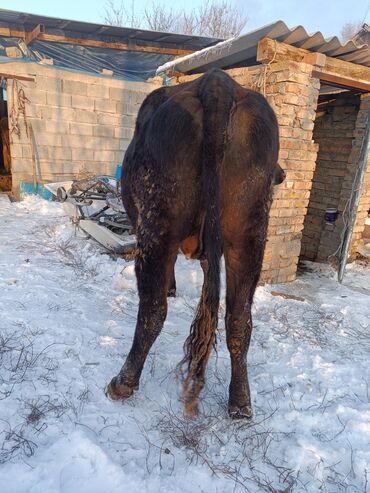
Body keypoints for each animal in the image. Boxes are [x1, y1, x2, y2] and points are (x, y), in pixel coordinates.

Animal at [105, 67, 284, 418]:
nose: (281, 176)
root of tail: (216, 82)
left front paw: (172, 288)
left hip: (157, 223)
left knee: (152, 310)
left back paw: (122, 383)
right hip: (250, 234)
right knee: (239, 319)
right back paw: (240, 403)